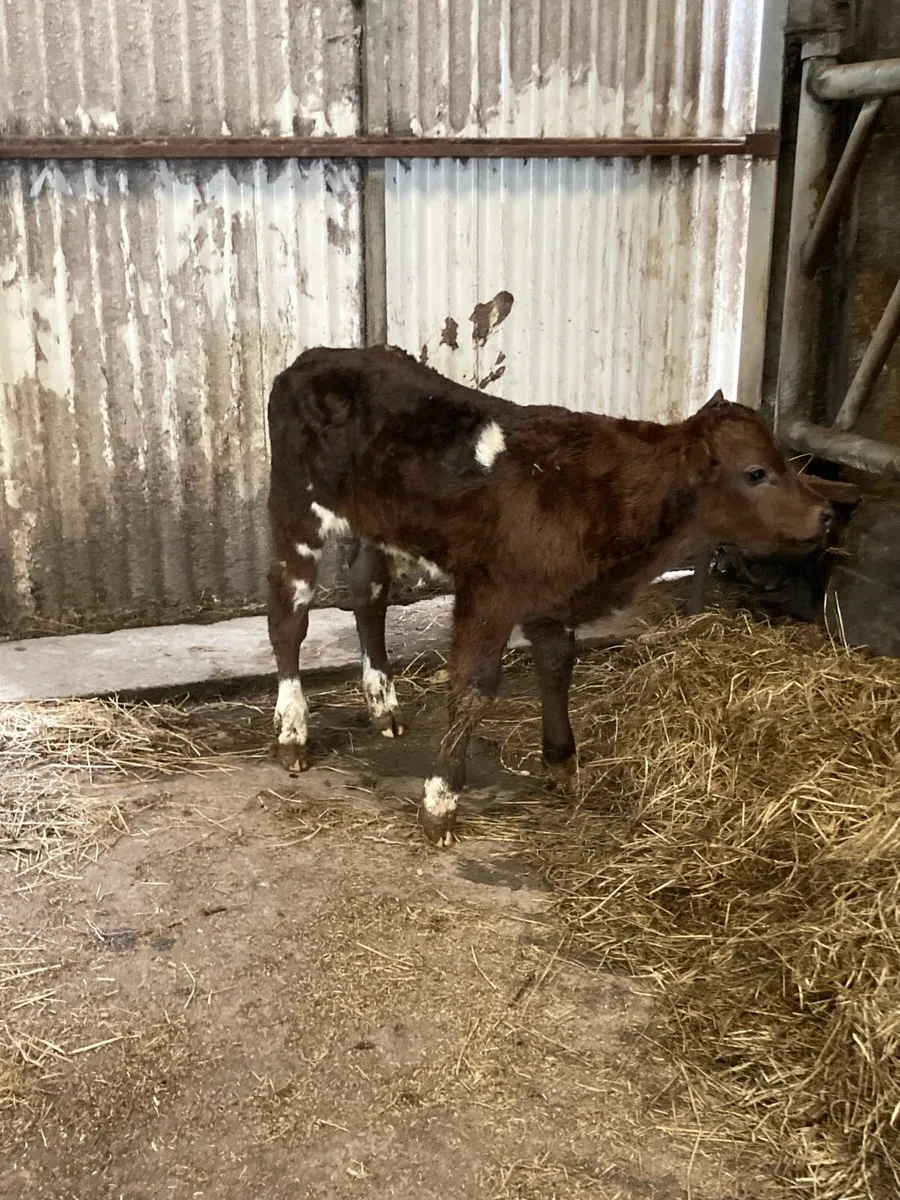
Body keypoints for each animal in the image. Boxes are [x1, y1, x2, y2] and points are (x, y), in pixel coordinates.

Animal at [265, 345, 833, 847]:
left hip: (379, 524)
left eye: (786, 458)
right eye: (756, 472)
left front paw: (562, 763)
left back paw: (382, 705)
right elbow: (472, 689)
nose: (827, 513)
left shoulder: (550, 595)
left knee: (367, 594)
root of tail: (314, 358)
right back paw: (292, 731)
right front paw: (440, 803)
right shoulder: (490, 592)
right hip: (296, 509)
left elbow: (558, 666)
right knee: (289, 617)